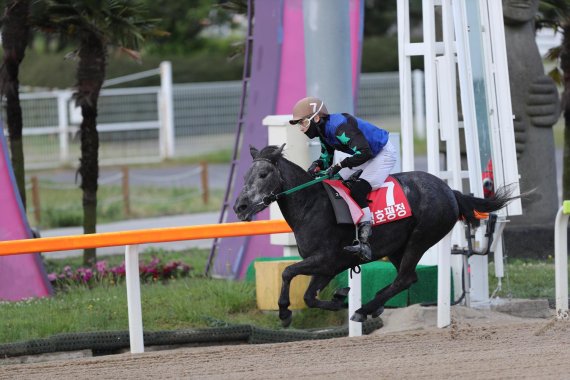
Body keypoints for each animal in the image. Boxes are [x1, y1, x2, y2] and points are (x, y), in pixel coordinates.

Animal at [233, 144, 516, 328]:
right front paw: (339, 298)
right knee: (407, 278)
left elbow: (287, 272)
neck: (311, 204)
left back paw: (365, 308)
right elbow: (309, 297)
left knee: (404, 278)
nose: (240, 207)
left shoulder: (325, 258)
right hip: (398, 248)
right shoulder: (327, 266)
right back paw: (371, 306)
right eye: (245, 175)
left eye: (263, 174)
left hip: (420, 238)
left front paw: (284, 312)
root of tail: (450, 191)